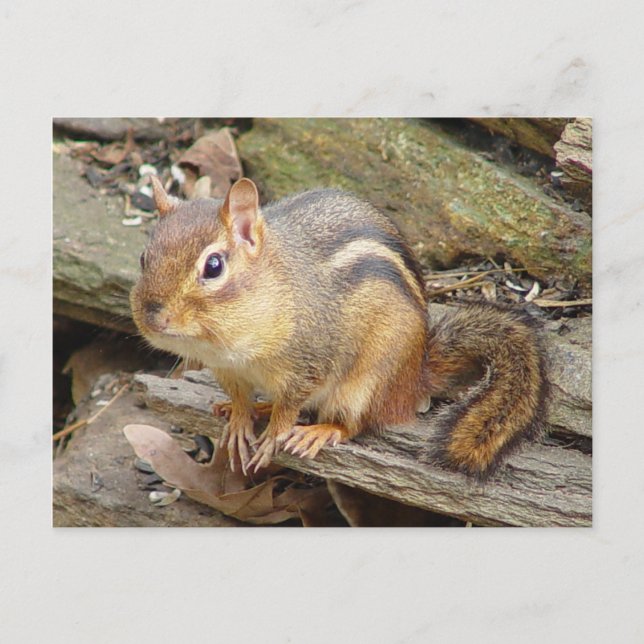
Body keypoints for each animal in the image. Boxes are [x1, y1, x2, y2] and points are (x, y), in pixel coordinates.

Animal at [130, 176, 547, 478]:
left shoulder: (310, 361)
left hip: (366, 384)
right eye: (143, 257)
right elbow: (241, 398)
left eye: (213, 266)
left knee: (356, 424)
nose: (153, 317)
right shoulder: (228, 371)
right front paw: (239, 419)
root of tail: (416, 376)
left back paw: (320, 430)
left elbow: (292, 405)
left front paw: (274, 435)